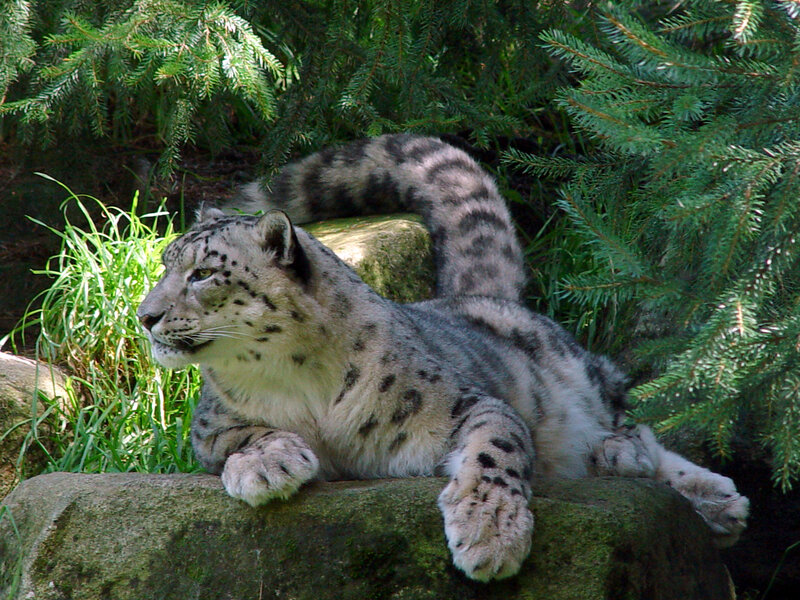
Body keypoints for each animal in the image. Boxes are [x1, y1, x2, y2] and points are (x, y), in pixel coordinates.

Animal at [137, 134, 749, 581]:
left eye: (202, 273)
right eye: (165, 263)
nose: (145, 316)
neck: (297, 379)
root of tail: (476, 295)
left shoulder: (463, 404)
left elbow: (496, 446)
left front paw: (489, 533)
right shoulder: (207, 426)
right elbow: (240, 435)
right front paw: (268, 464)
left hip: (581, 371)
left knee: (633, 416)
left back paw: (652, 468)